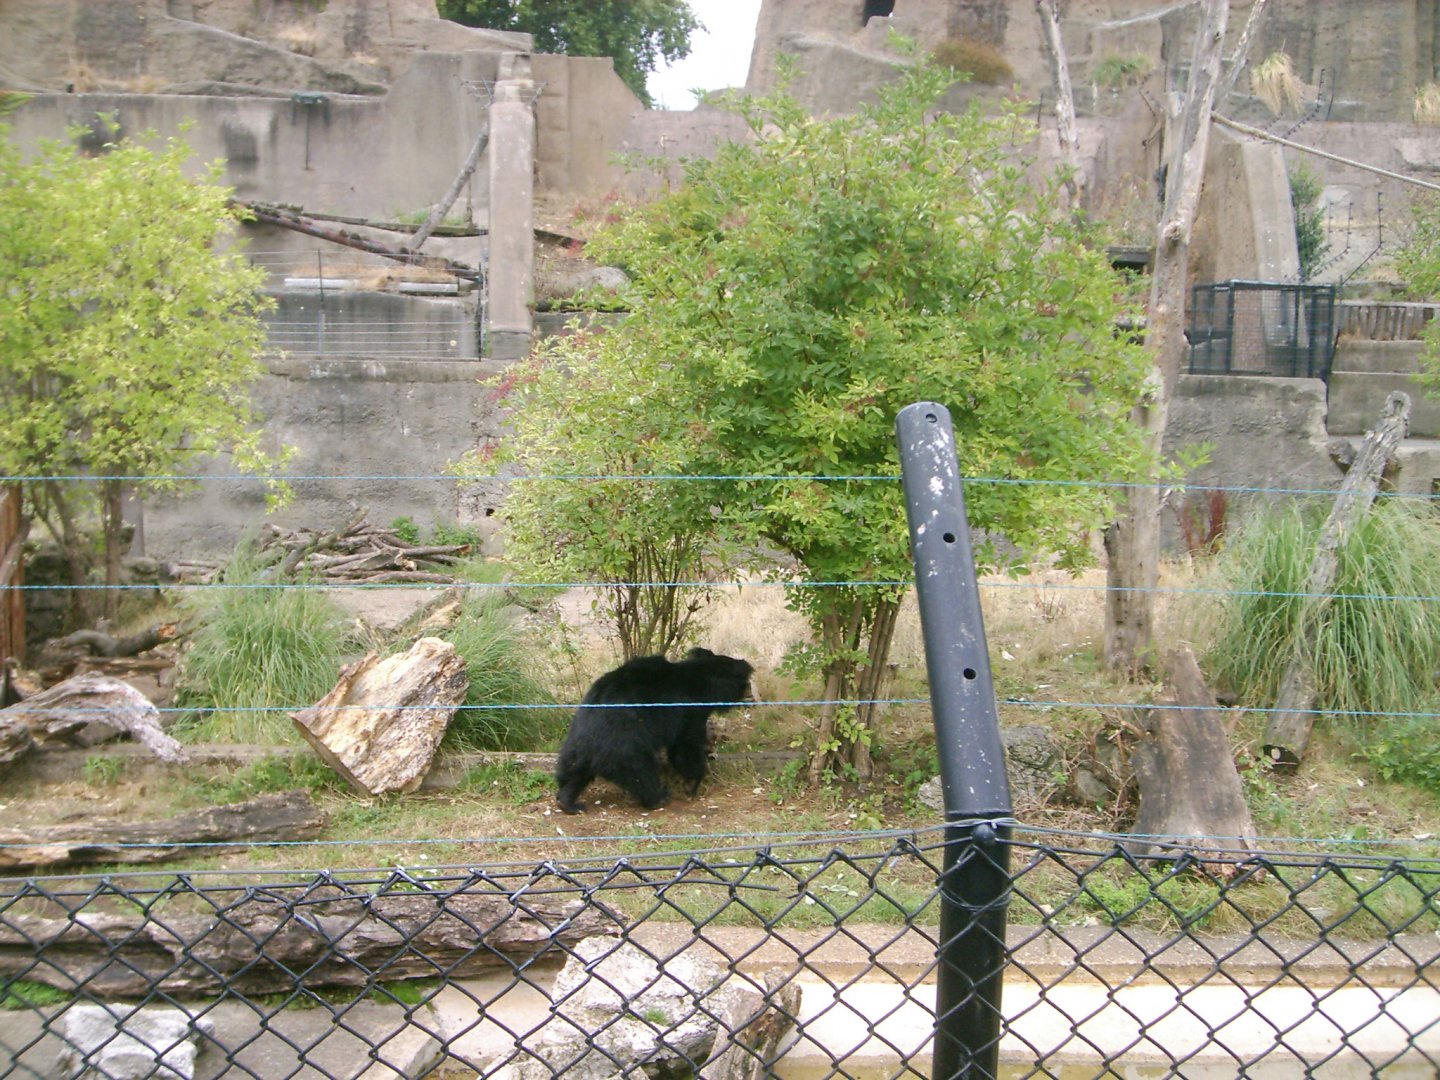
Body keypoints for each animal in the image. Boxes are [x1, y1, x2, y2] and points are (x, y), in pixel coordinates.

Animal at [555, 647, 754, 814]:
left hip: (576, 749)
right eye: (747, 684)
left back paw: (568, 802)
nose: (751, 696)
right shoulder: (688, 711)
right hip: (623, 745)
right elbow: (685, 746)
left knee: (574, 774)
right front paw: (693, 782)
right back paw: (659, 797)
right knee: (640, 772)